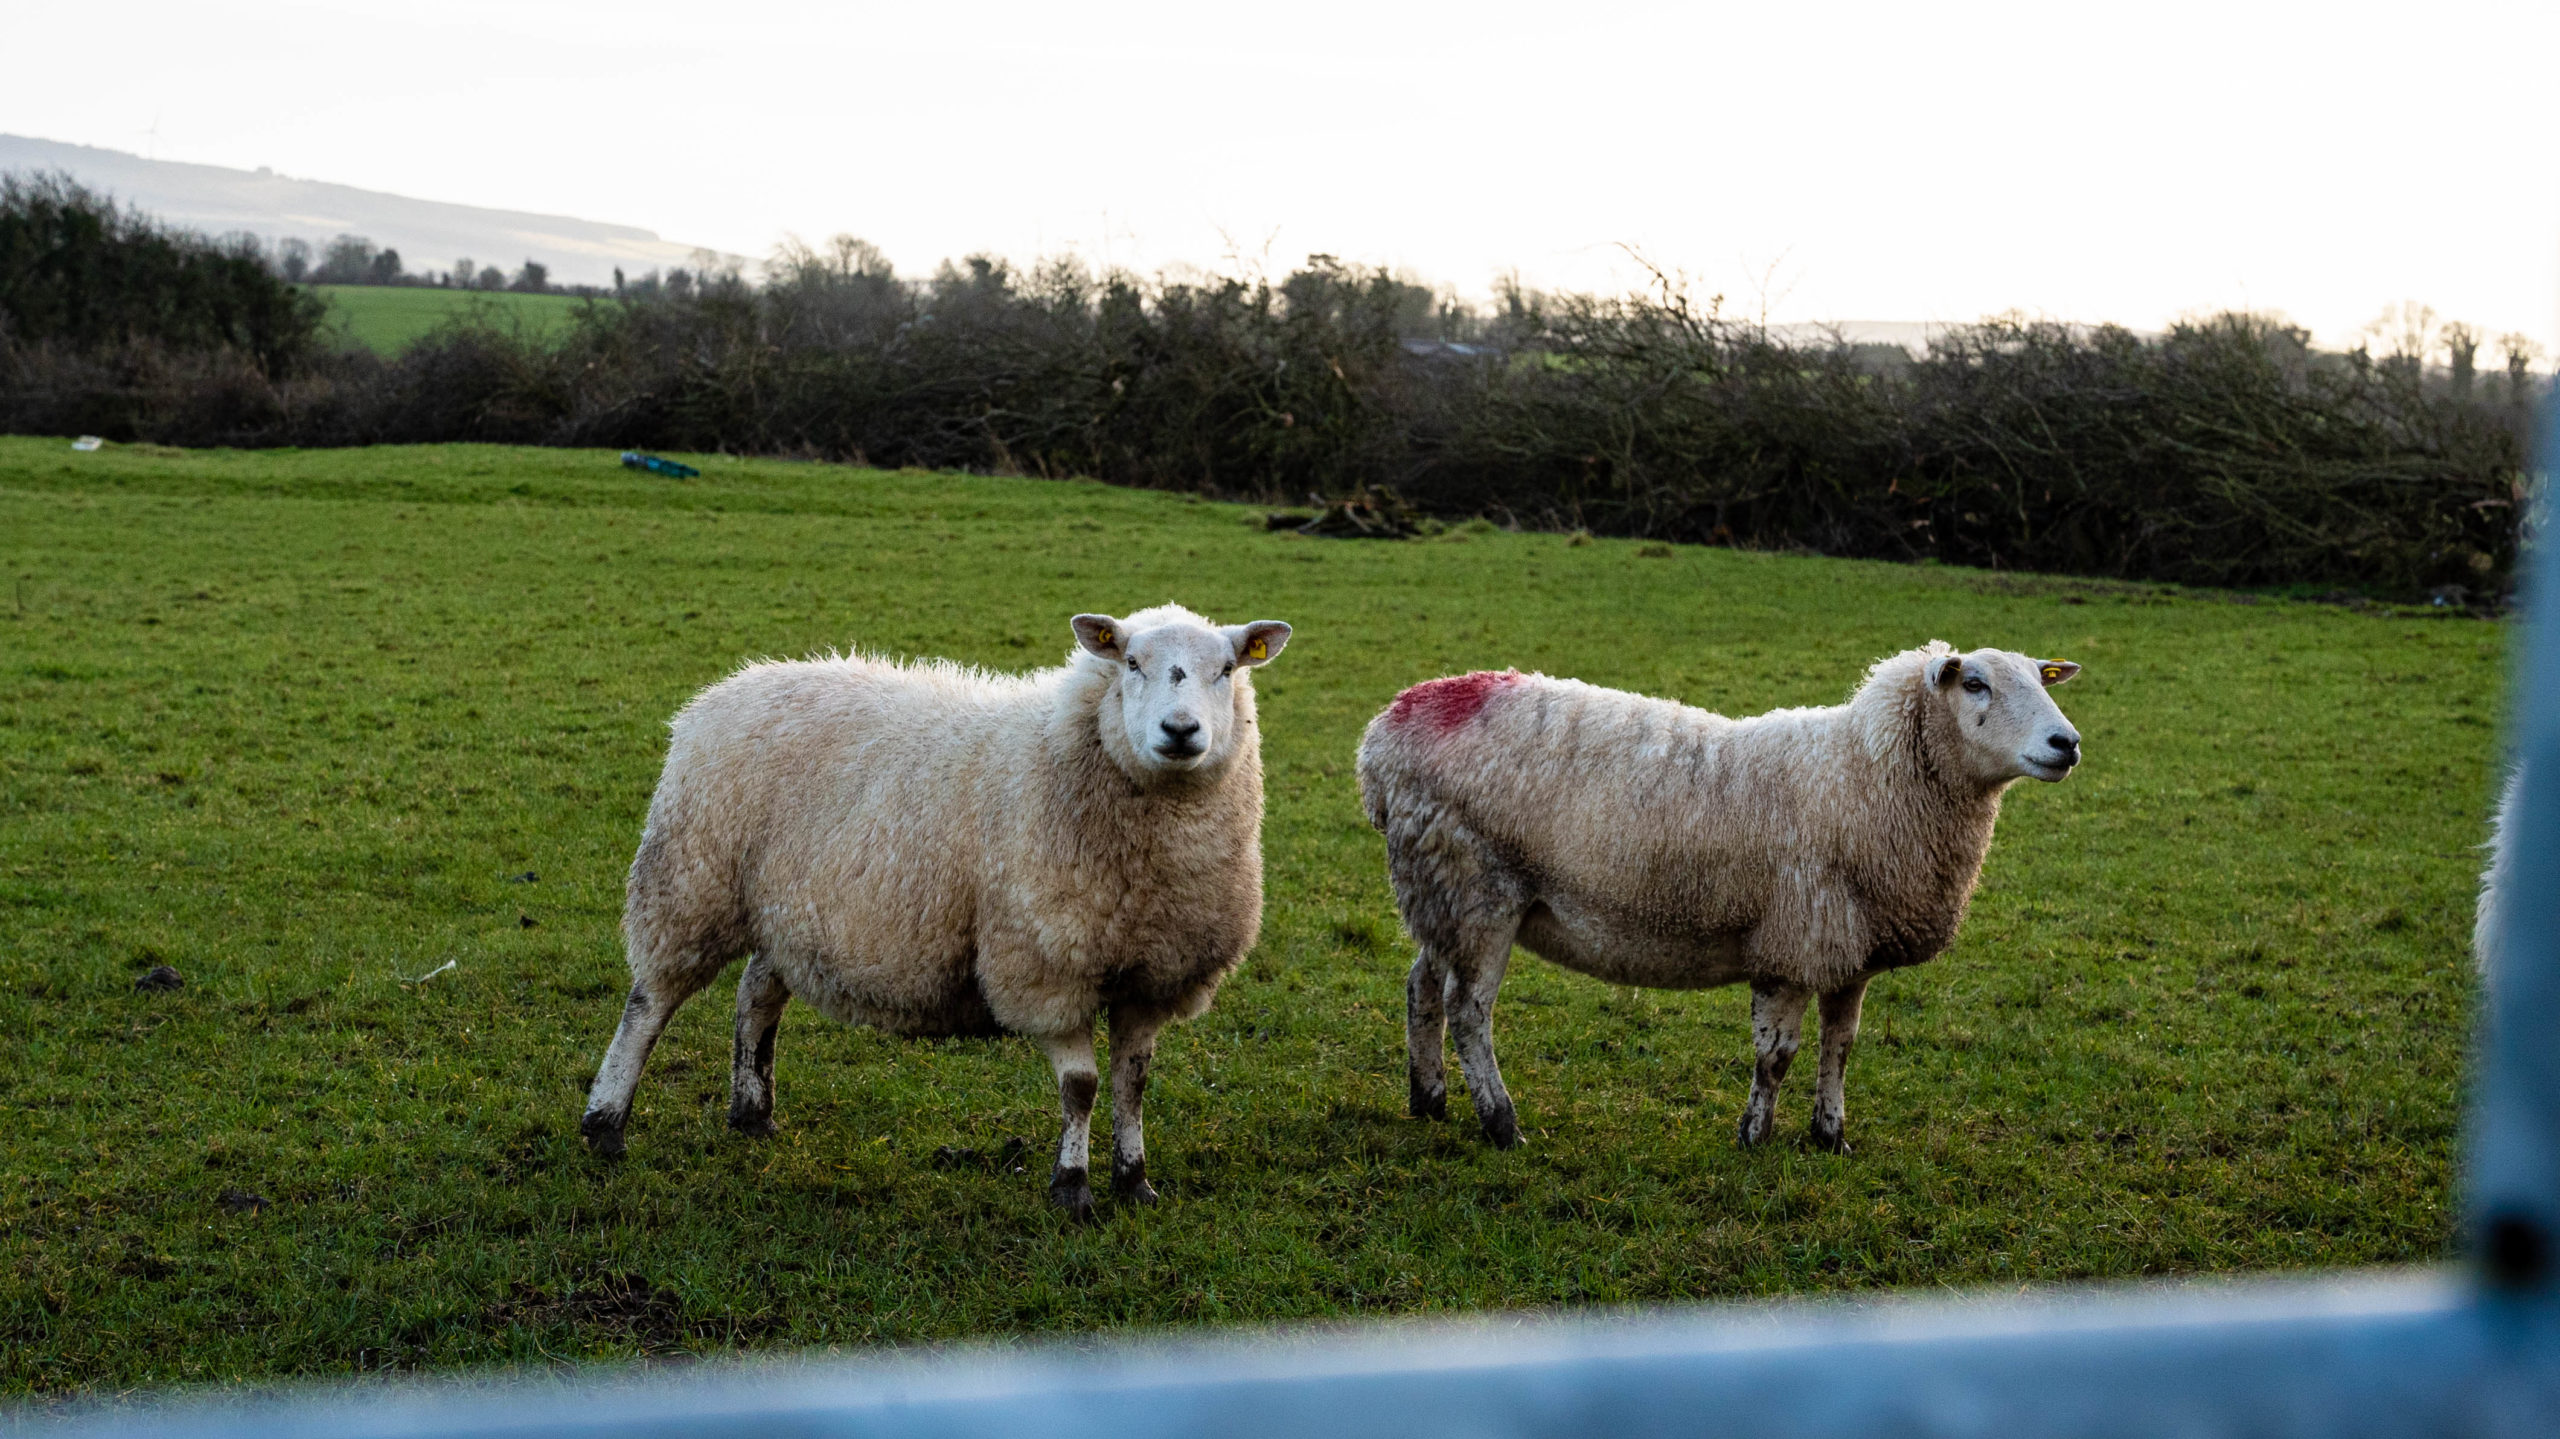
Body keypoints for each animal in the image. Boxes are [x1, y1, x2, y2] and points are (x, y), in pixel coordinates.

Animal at [578, 604, 1293, 1221]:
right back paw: (605, 1125)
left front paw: (1135, 1182)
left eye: (1227, 669)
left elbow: (1133, 1084)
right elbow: (1082, 1087)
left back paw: (752, 1114)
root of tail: (726, 689)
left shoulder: (1153, 976)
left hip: (789, 911)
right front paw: (1072, 1188)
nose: (1181, 731)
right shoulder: (1044, 968)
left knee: (755, 996)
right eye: (1132, 663)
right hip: (691, 883)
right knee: (648, 1004)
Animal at [1357, 643, 2083, 1154]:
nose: (2068, 743)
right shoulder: (1792, 943)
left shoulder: (1848, 947)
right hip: (1479, 886)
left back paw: (1429, 1098)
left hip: (1438, 889)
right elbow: (1777, 1055)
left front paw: (1830, 1136)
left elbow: (1841, 1045)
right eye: (1975, 683)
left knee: (1421, 986)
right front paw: (1754, 1136)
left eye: (2040, 679)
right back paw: (1501, 1124)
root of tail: (1386, 729)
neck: (1863, 774)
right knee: (1468, 1010)